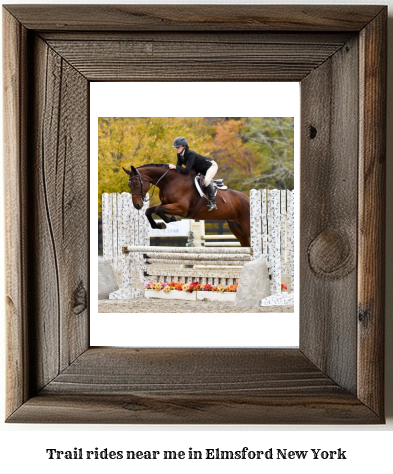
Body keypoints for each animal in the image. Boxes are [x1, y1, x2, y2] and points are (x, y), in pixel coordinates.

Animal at [122, 164, 250, 248]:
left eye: (137, 183)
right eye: (129, 184)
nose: (137, 205)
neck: (170, 181)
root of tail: (247, 199)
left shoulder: (182, 209)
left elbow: (158, 210)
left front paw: (172, 219)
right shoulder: (166, 203)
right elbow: (149, 210)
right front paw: (160, 224)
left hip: (246, 224)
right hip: (236, 228)